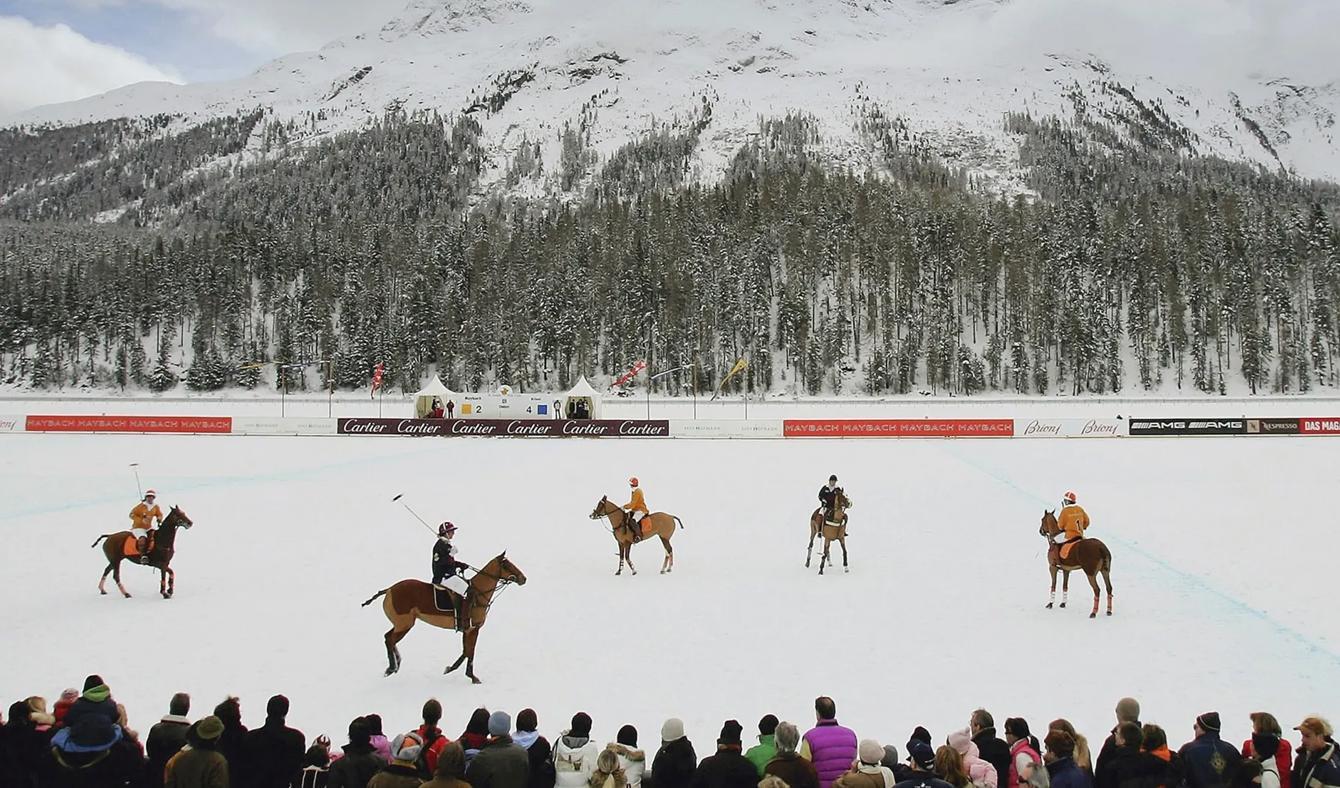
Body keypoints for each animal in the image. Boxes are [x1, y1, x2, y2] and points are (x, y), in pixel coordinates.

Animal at [361, 552, 527, 680]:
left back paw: (396, 665)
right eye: (506, 565)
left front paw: (450, 669)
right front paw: (472, 677)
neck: (479, 593)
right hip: (404, 624)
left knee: (388, 637)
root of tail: (389, 590)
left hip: (401, 624)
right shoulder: (474, 629)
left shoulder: (467, 630)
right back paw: (391, 667)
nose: (523, 578)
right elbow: (470, 651)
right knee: (389, 639)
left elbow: (466, 651)